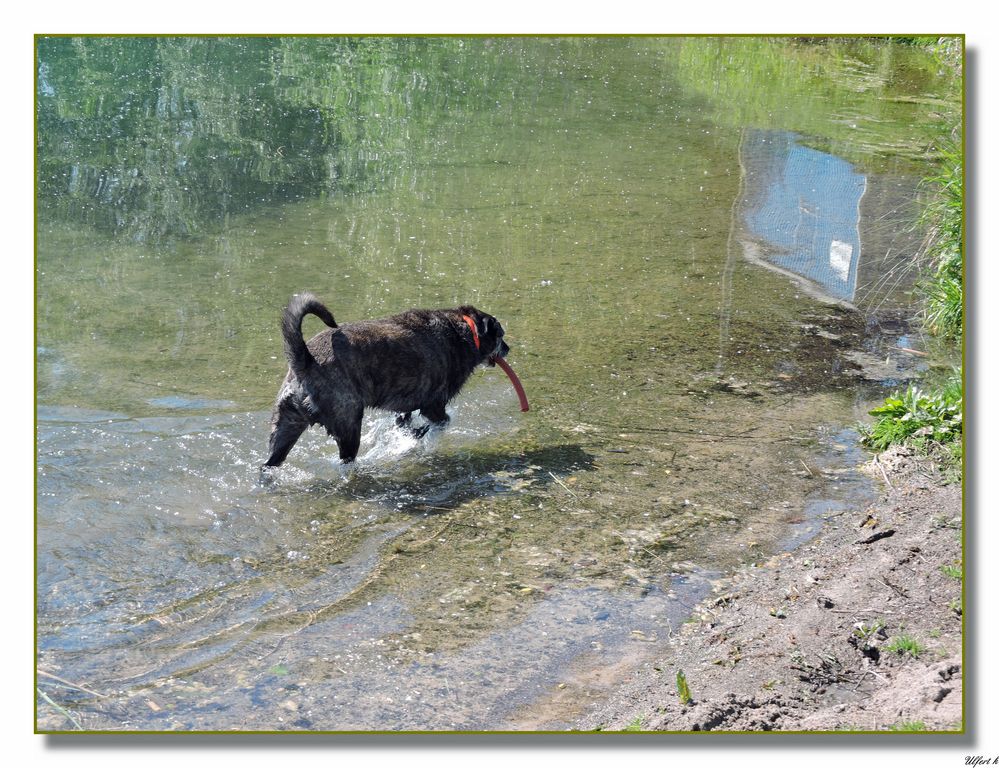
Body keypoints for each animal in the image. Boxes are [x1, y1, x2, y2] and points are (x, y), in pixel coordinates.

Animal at [262, 292, 512, 464]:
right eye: (500, 335)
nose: (508, 349)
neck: (463, 329)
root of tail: (306, 360)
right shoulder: (433, 406)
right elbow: (443, 422)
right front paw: (420, 436)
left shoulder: (407, 406)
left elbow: (404, 421)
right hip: (349, 424)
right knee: (347, 458)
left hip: (285, 428)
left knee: (270, 463)